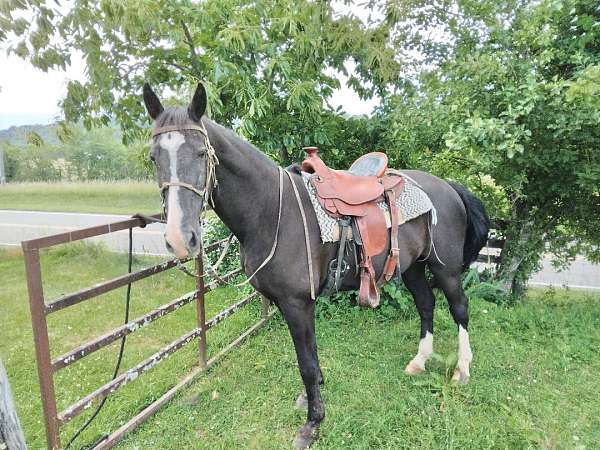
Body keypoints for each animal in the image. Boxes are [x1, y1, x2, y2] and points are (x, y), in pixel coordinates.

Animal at [143, 82, 490, 448]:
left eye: (200, 153)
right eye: (154, 158)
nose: (181, 239)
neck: (272, 211)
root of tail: (448, 186)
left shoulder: (297, 303)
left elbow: (306, 363)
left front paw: (312, 423)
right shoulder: (290, 303)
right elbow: (310, 353)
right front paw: (313, 397)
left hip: (445, 268)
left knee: (460, 308)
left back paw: (462, 369)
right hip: (411, 267)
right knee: (426, 304)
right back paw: (419, 361)